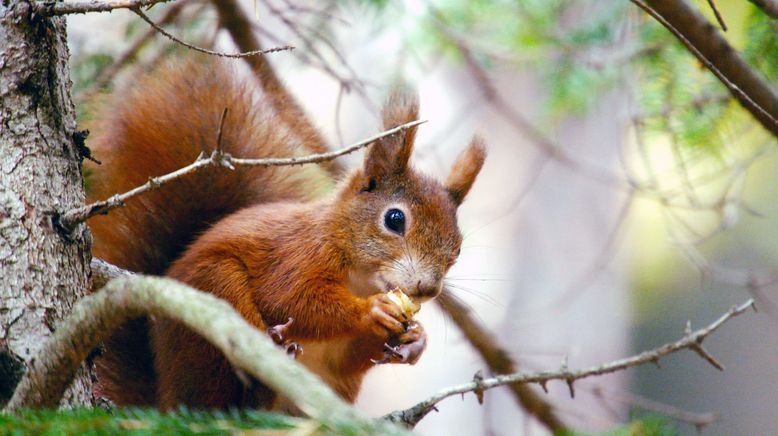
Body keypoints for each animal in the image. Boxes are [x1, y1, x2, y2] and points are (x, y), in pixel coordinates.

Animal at [86, 57, 484, 408]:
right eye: (395, 219)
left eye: (458, 248)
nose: (427, 289)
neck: (360, 277)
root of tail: (166, 398)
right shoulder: (295, 255)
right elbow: (291, 299)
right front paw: (371, 311)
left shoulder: (340, 359)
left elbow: (349, 357)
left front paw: (415, 340)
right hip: (212, 293)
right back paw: (272, 350)